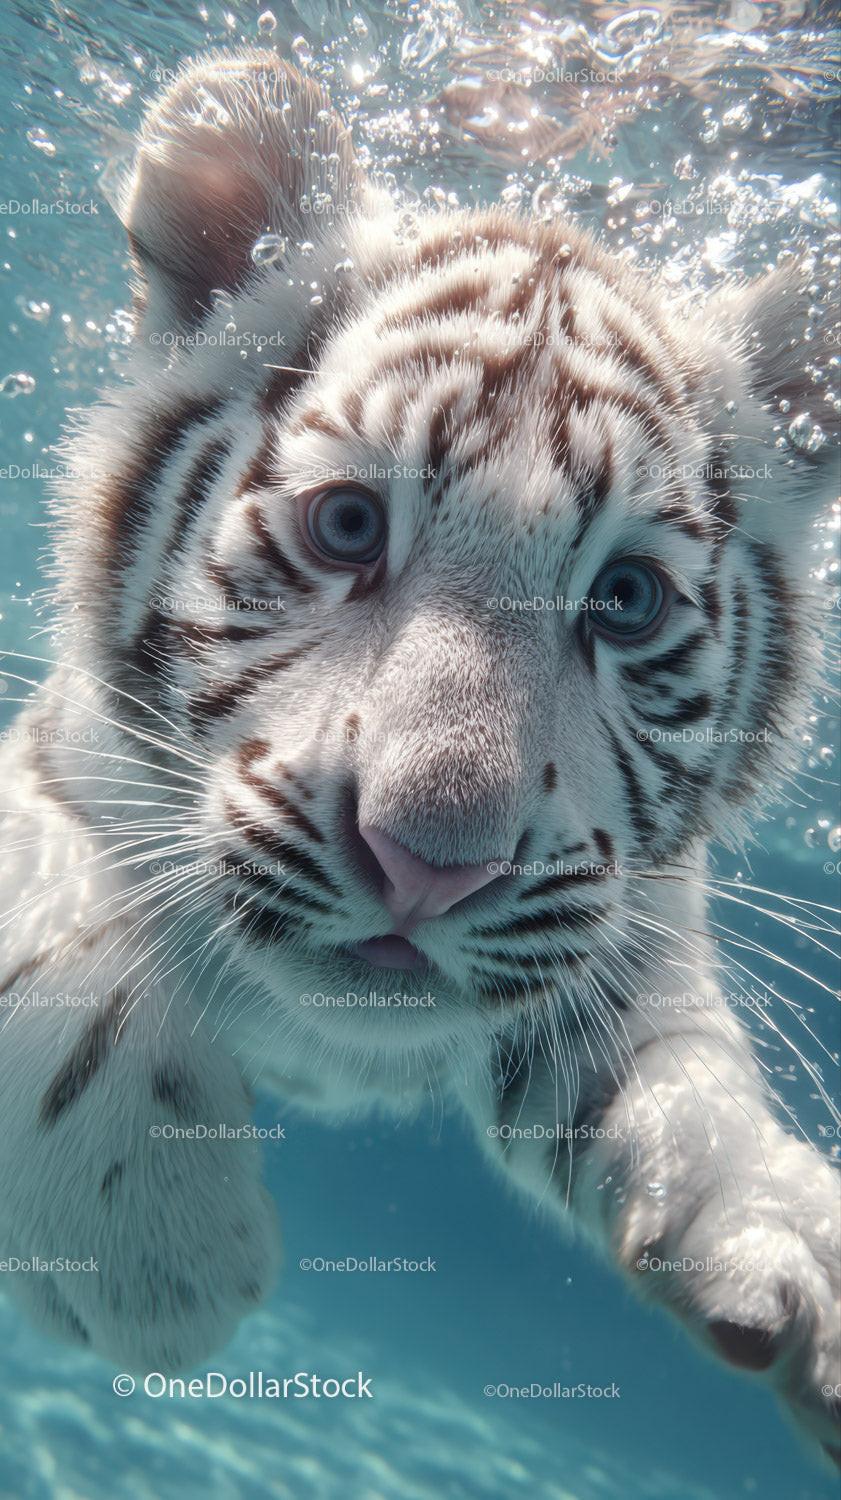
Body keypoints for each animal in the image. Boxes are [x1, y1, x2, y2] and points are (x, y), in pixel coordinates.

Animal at [0, 49, 837, 1465]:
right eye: (346, 527)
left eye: (624, 602)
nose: (426, 866)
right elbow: (61, 943)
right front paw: (147, 1239)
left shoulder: (614, 924)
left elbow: (683, 1073)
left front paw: (787, 1253)